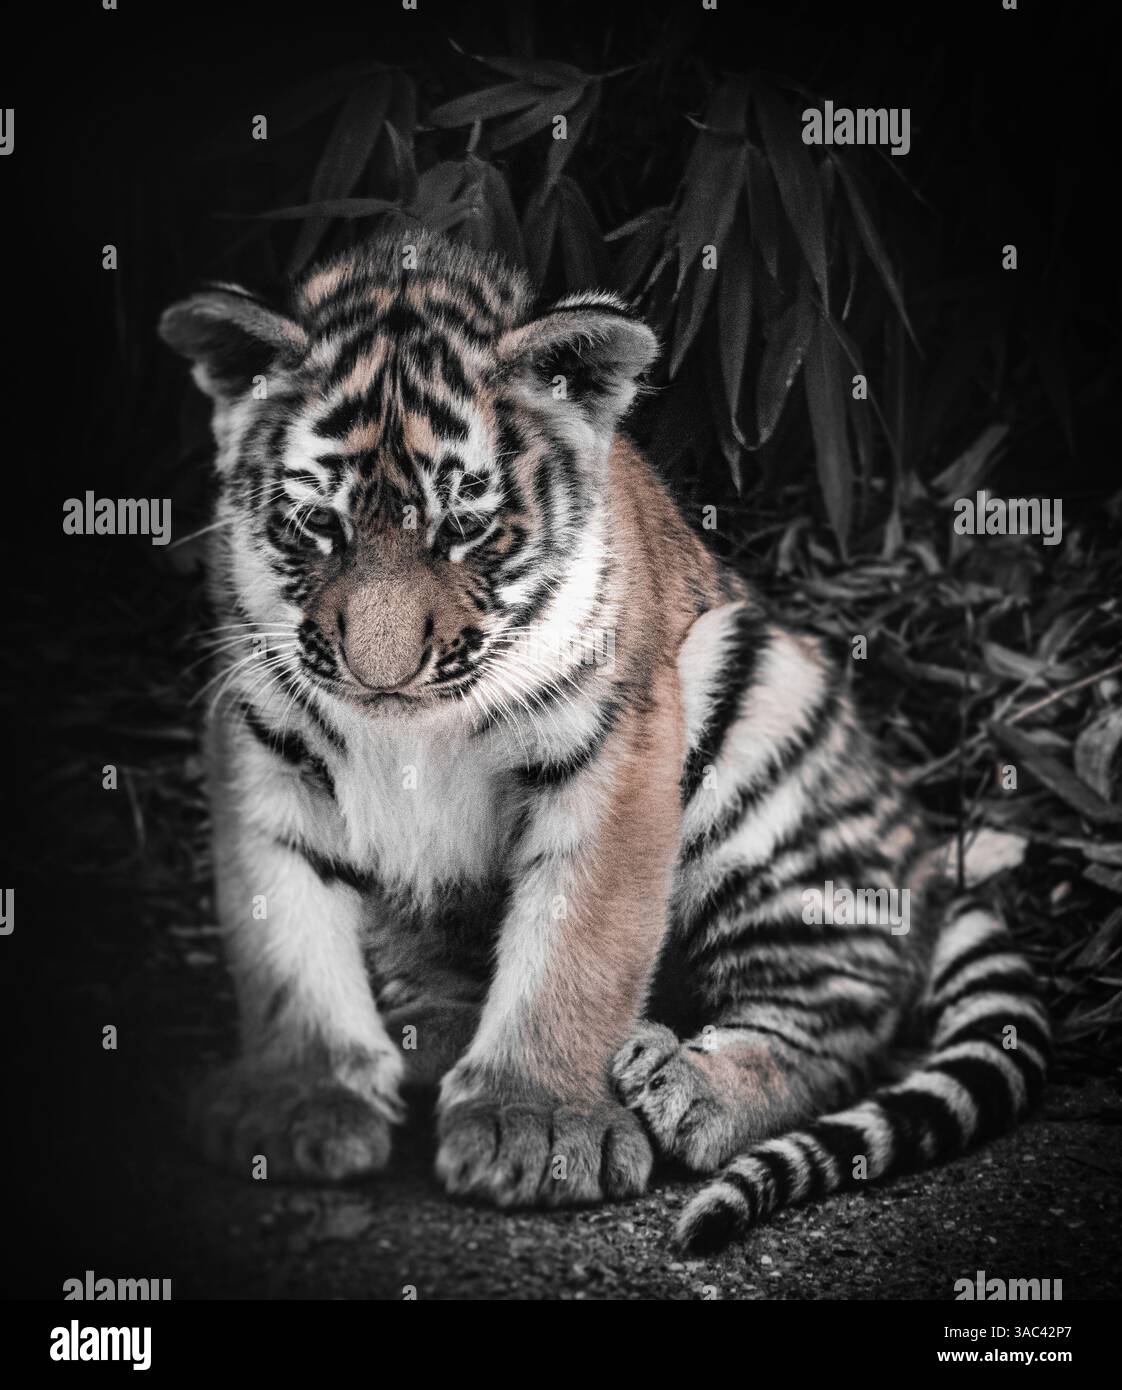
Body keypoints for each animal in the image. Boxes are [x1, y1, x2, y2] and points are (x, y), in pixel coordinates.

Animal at [159, 229, 1049, 1250]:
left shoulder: (613, 749)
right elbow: (286, 941)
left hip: (758, 704)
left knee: (835, 1021)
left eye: (464, 527)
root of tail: (925, 858)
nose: (381, 675)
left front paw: (537, 1129)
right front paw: (299, 1106)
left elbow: (578, 949)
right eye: (318, 524)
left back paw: (687, 1084)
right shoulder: (262, 742)